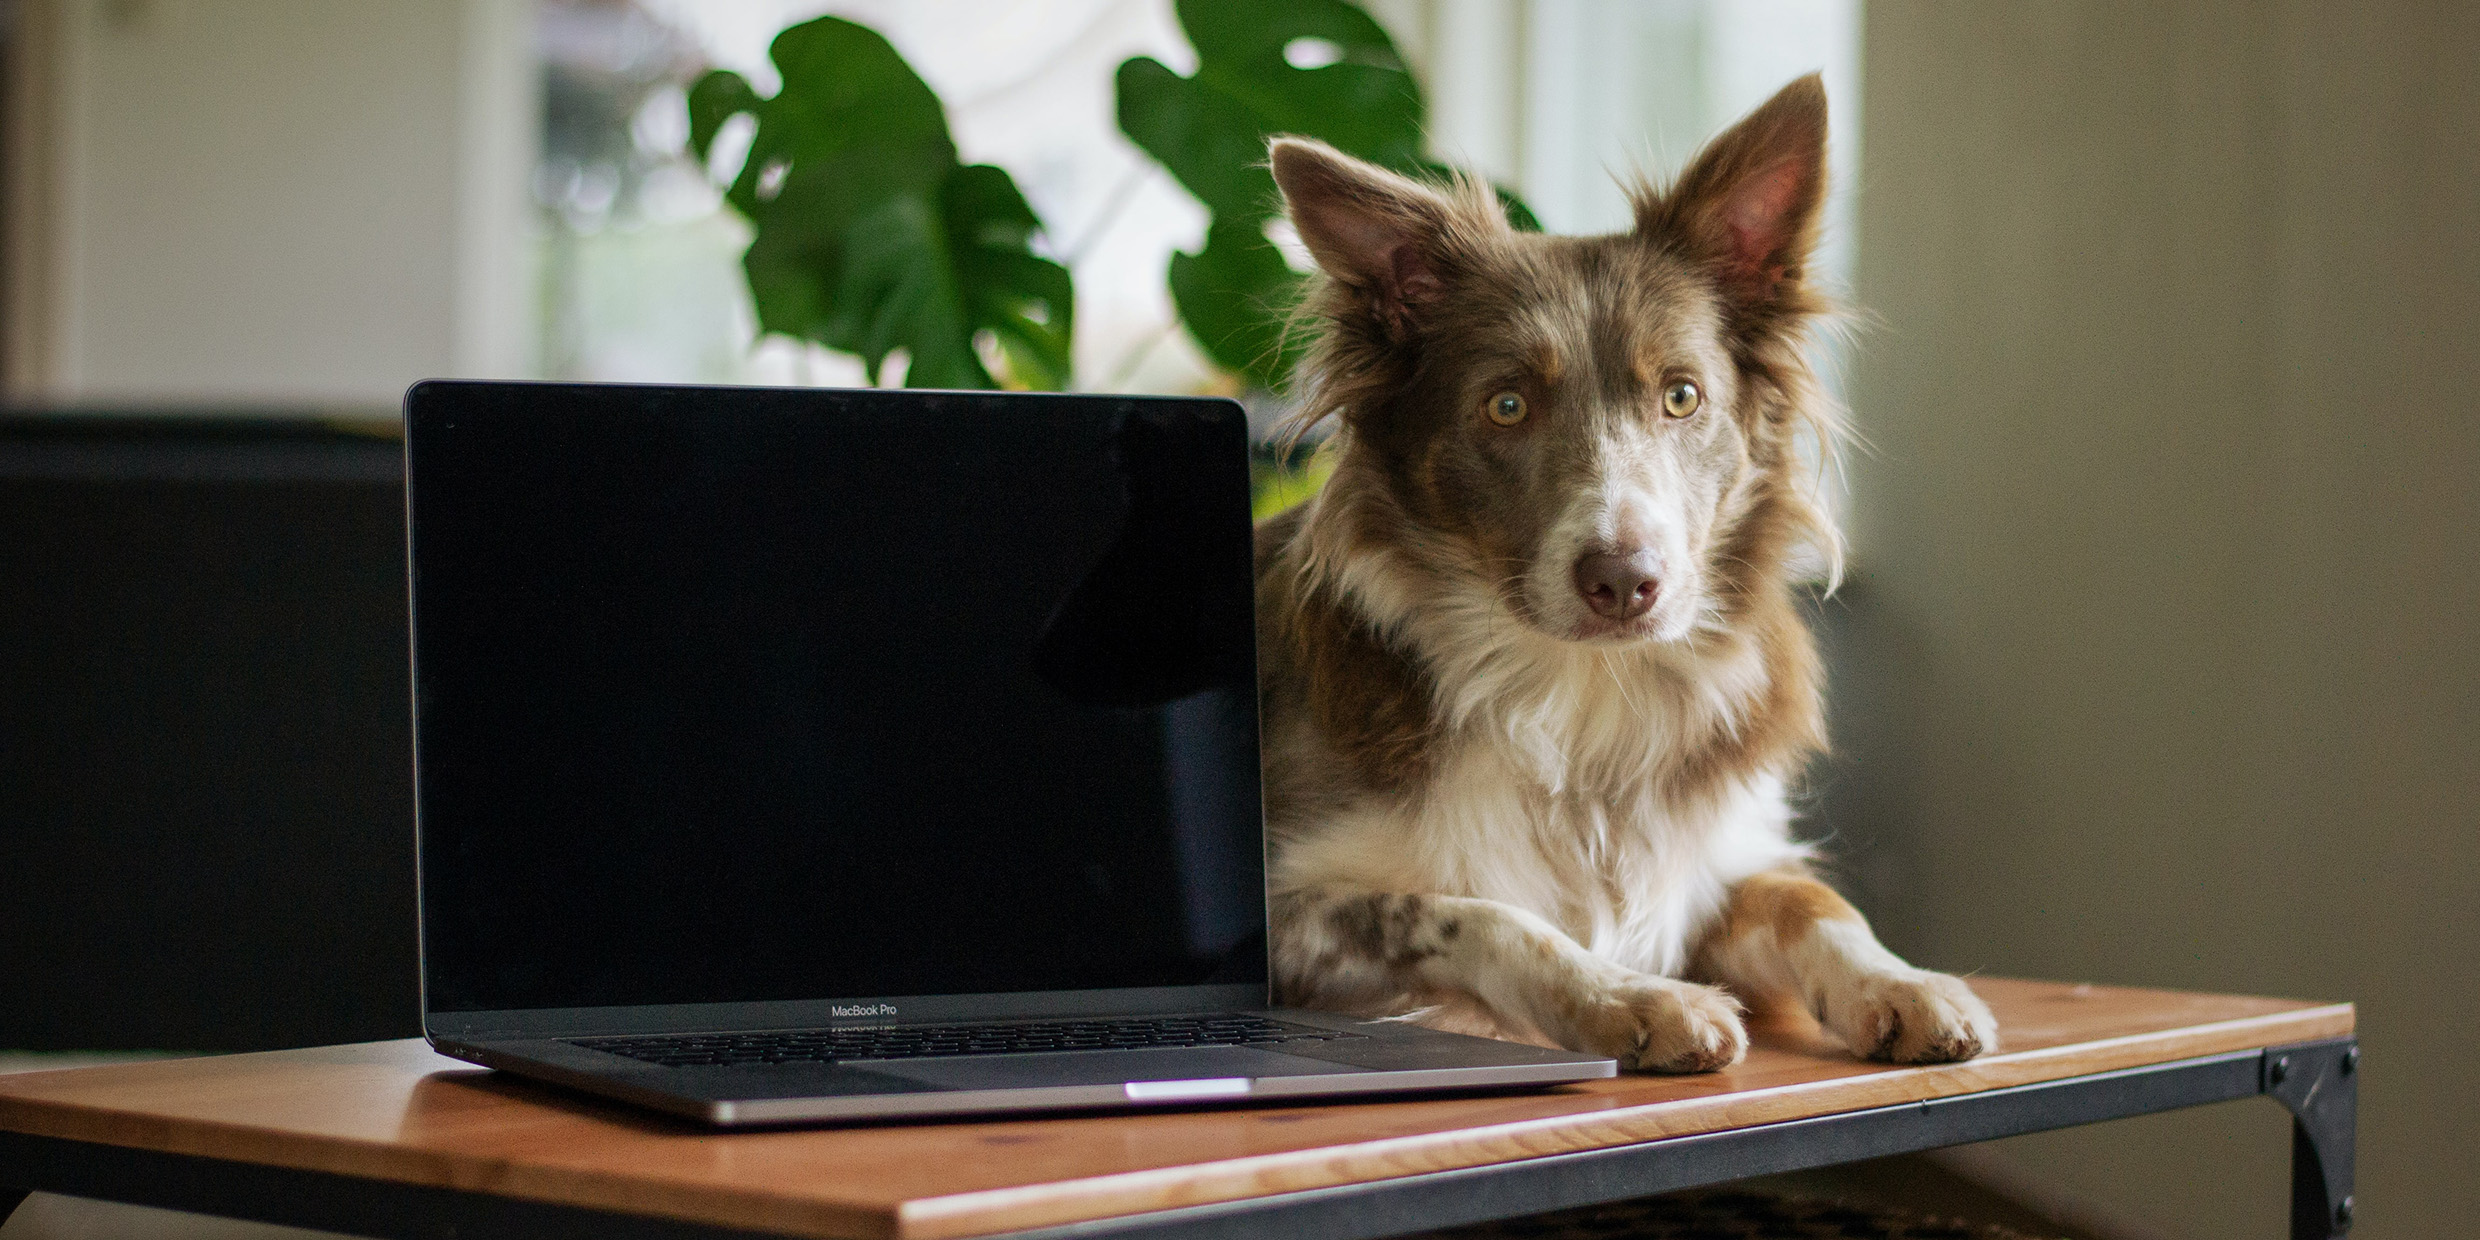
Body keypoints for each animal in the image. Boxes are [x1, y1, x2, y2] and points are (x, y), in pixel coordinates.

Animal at [1259, 75, 1993, 1076]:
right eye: (1507, 405)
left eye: (1681, 395)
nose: (1624, 581)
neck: (1584, 694)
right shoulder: (1281, 914)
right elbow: (1481, 912)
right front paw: (1632, 999)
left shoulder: (1718, 857)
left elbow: (1817, 902)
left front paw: (1905, 983)